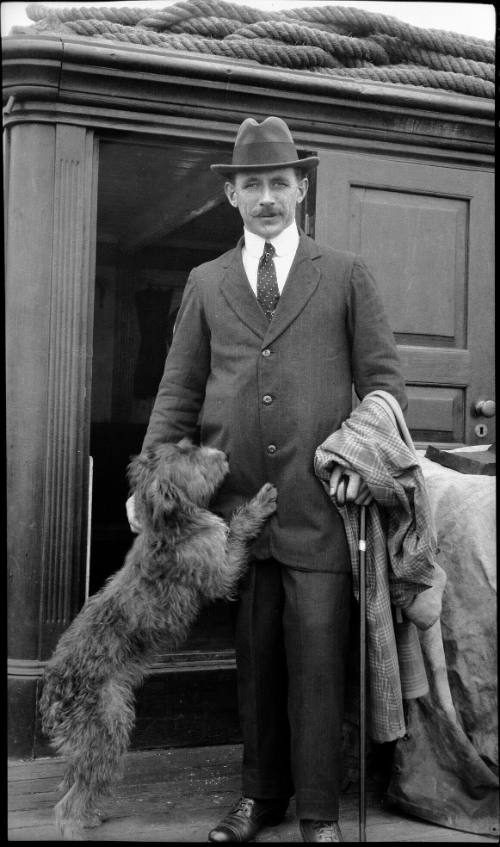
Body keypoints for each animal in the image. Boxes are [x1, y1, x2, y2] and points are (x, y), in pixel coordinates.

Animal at [40, 440, 278, 840]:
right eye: (189, 459)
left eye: (187, 446)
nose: (222, 454)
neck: (172, 523)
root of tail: (55, 691)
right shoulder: (220, 570)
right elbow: (237, 529)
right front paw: (260, 502)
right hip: (108, 727)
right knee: (67, 803)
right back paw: (76, 823)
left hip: (89, 740)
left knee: (76, 781)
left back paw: (90, 815)